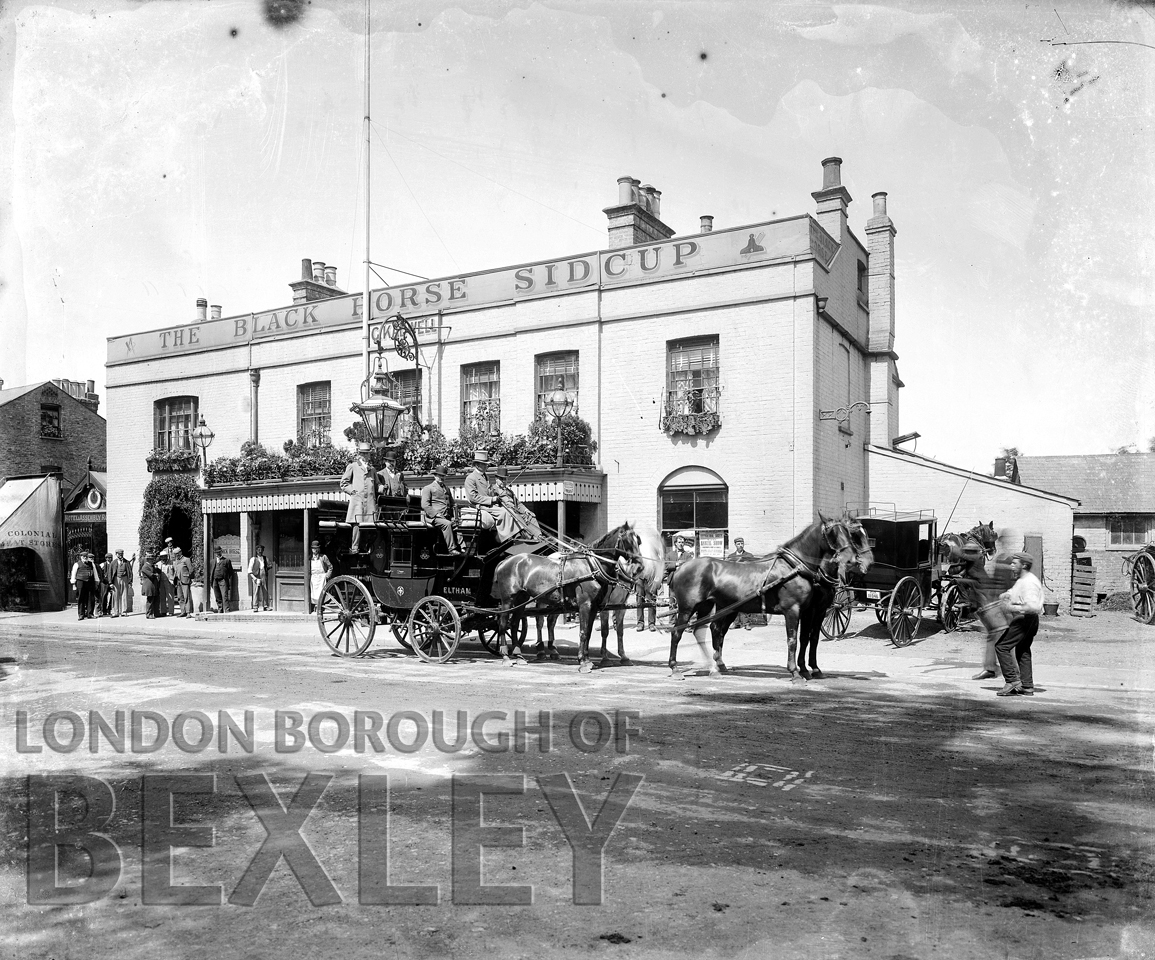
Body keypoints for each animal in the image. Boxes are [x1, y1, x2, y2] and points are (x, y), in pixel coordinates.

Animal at [665, 517, 868, 683]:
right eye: (833, 534)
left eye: (848, 533)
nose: (853, 561)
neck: (795, 567)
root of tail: (681, 566)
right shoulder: (794, 610)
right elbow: (793, 640)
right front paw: (796, 673)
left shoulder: (811, 610)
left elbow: (808, 638)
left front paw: (808, 670)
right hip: (687, 608)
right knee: (677, 633)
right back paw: (675, 668)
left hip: (713, 606)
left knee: (705, 631)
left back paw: (714, 667)